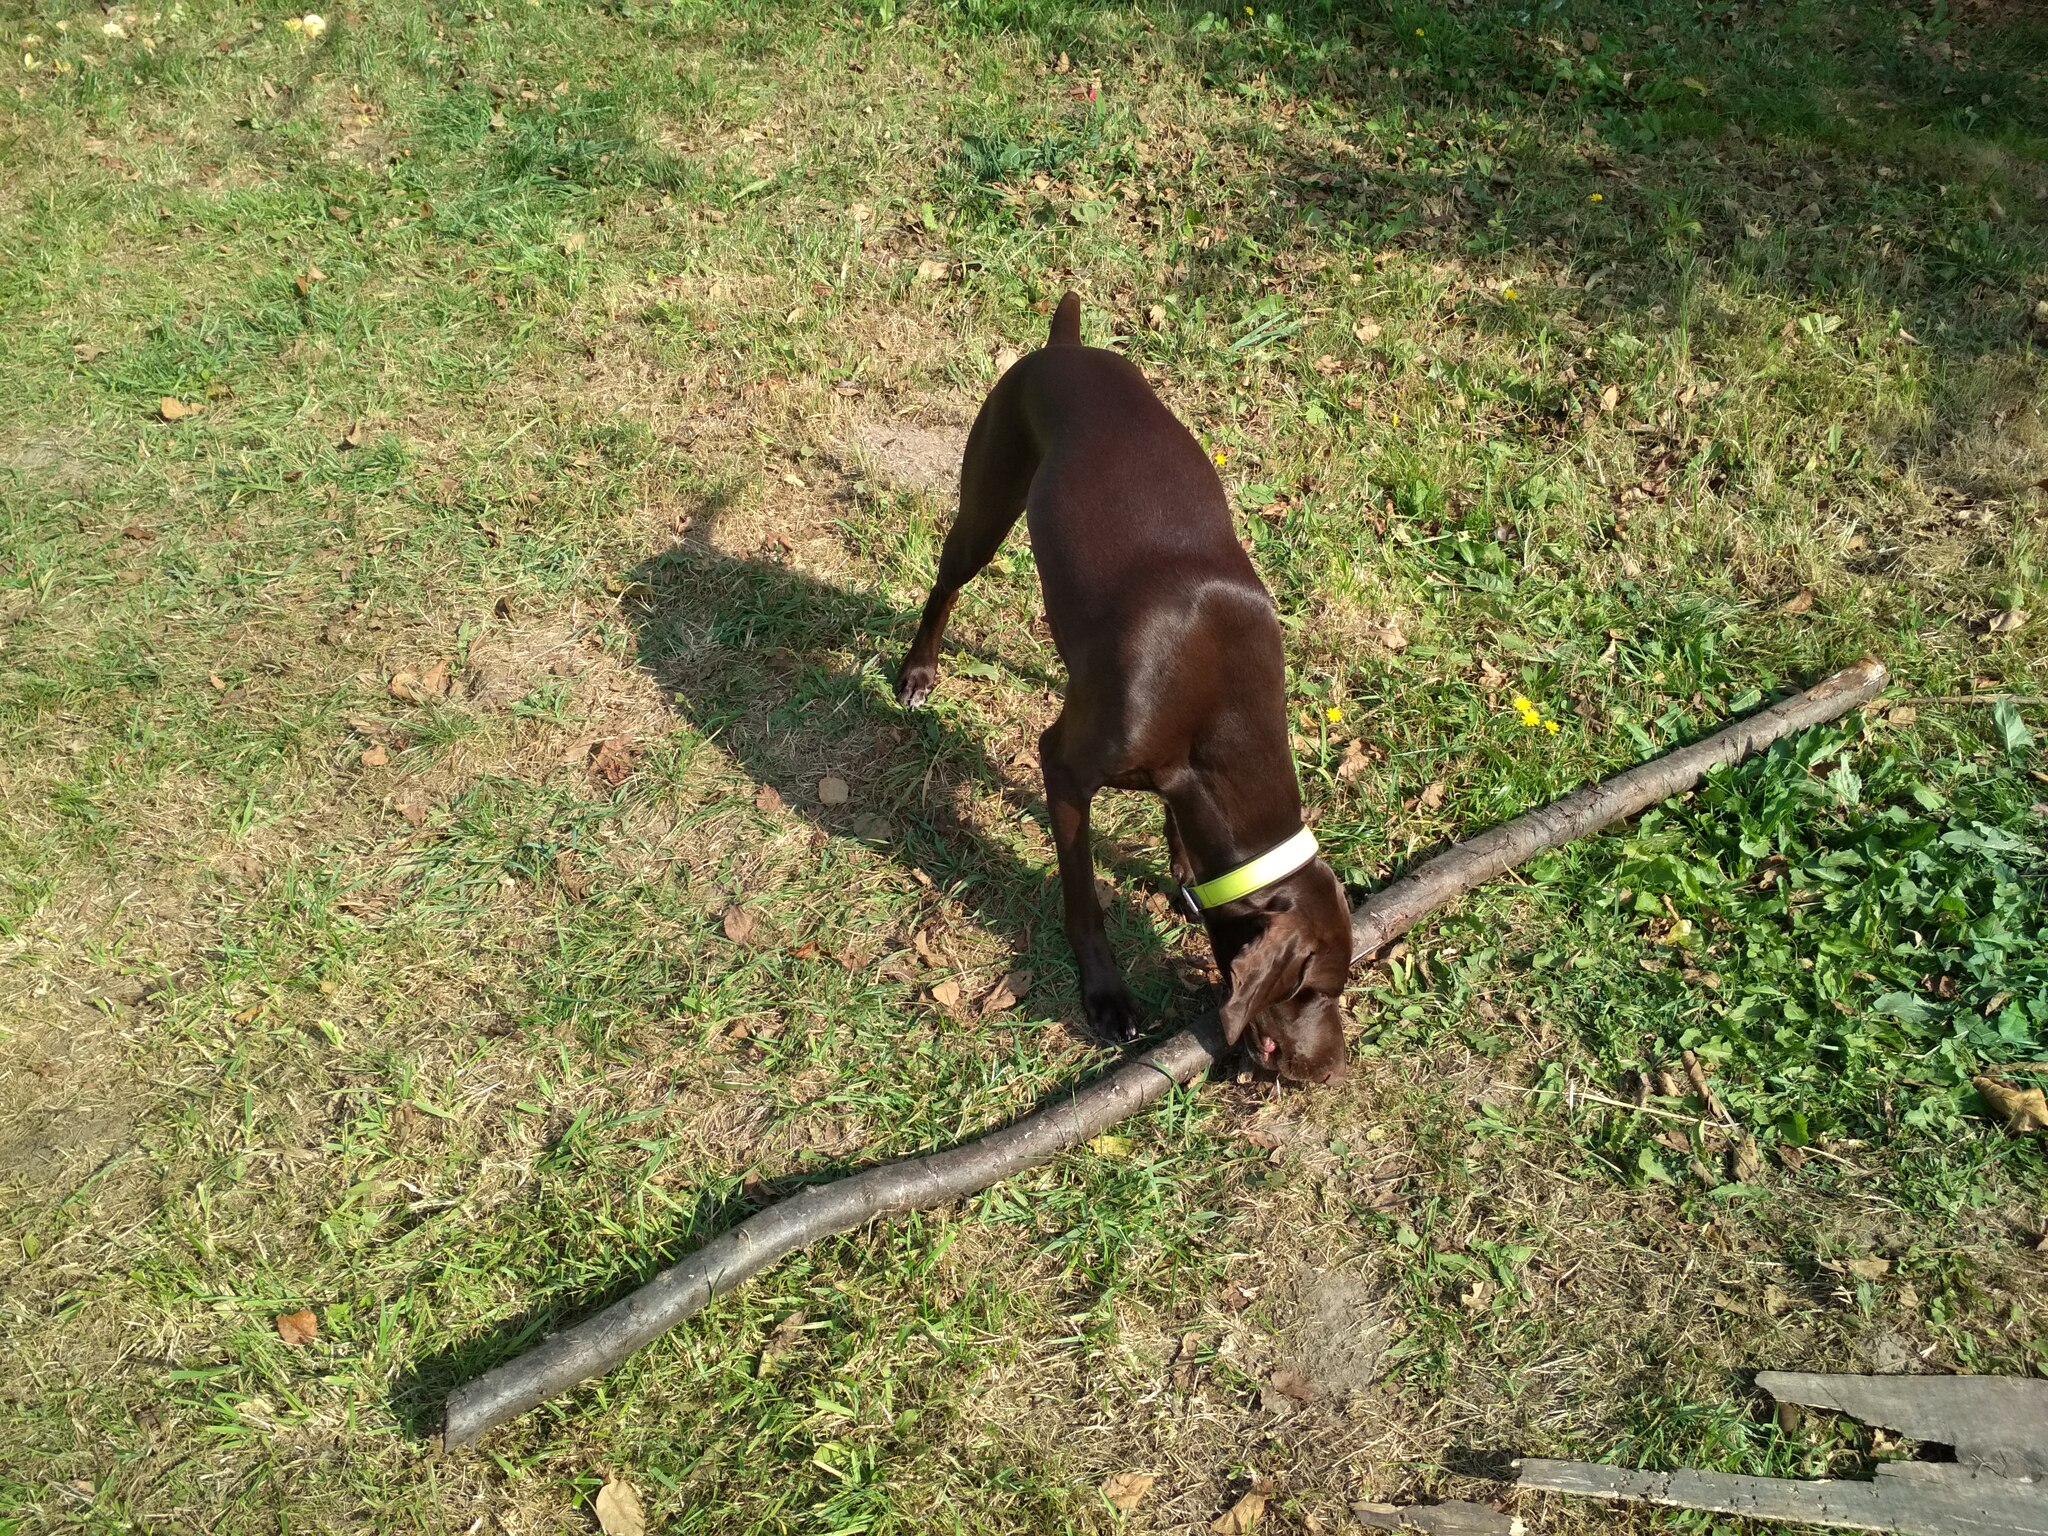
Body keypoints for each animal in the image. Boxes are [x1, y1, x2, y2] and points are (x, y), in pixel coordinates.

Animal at [901, 288, 1351, 1081]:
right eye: (1314, 989)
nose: (1333, 1069)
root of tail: (1065, 347)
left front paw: (1181, 874)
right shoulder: (1063, 767)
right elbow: (1084, 897)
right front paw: (1106, 996)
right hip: (985, 505)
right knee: (945, 585)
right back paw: (918, 671)